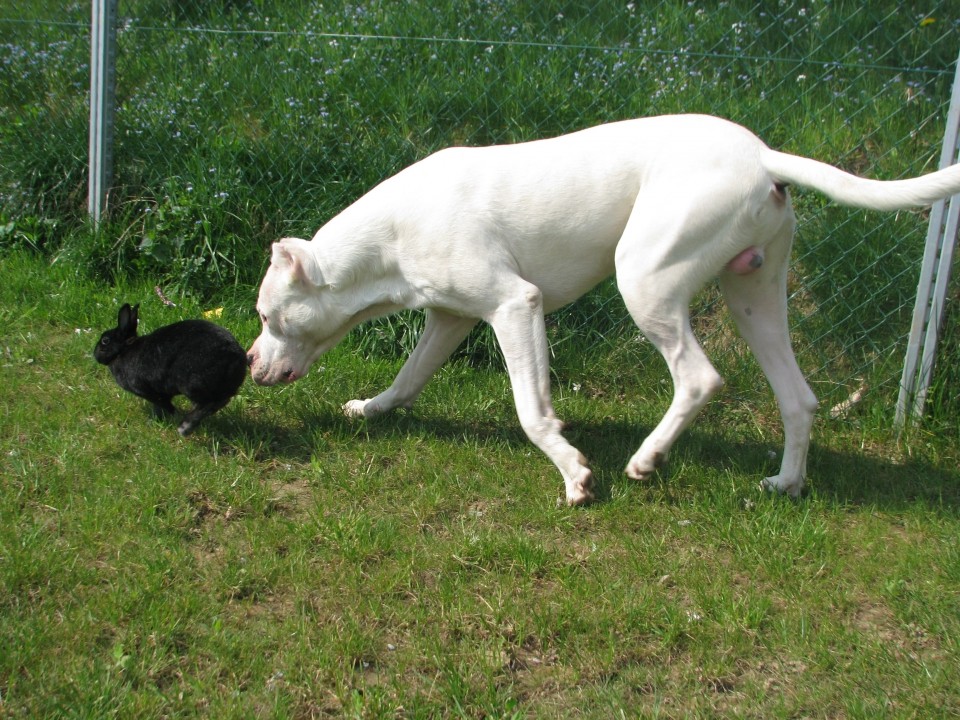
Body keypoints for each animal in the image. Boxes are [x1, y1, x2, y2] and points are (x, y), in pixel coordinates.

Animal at [94, 302, 248, 436]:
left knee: (211, 403)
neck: (124, 349)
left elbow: (164, 405)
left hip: (192, 384)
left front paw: (162, 419)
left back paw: (184, 427)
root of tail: (236, 358)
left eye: (105, 341)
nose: (95, 355)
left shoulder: (150, 392)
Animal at [248, 115, 960, 504]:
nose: (250, 361)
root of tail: (761, 154)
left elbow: (532, 412)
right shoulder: (450, 321)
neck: (389, 236)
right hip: (754, 301)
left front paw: (573, 473)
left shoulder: (516, 307)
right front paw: (369, 409)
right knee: (799, 399)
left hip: (645, 281)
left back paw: (647, 459)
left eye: (265, 316)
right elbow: (406, 381)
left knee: (699, 378)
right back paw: (785, 485)